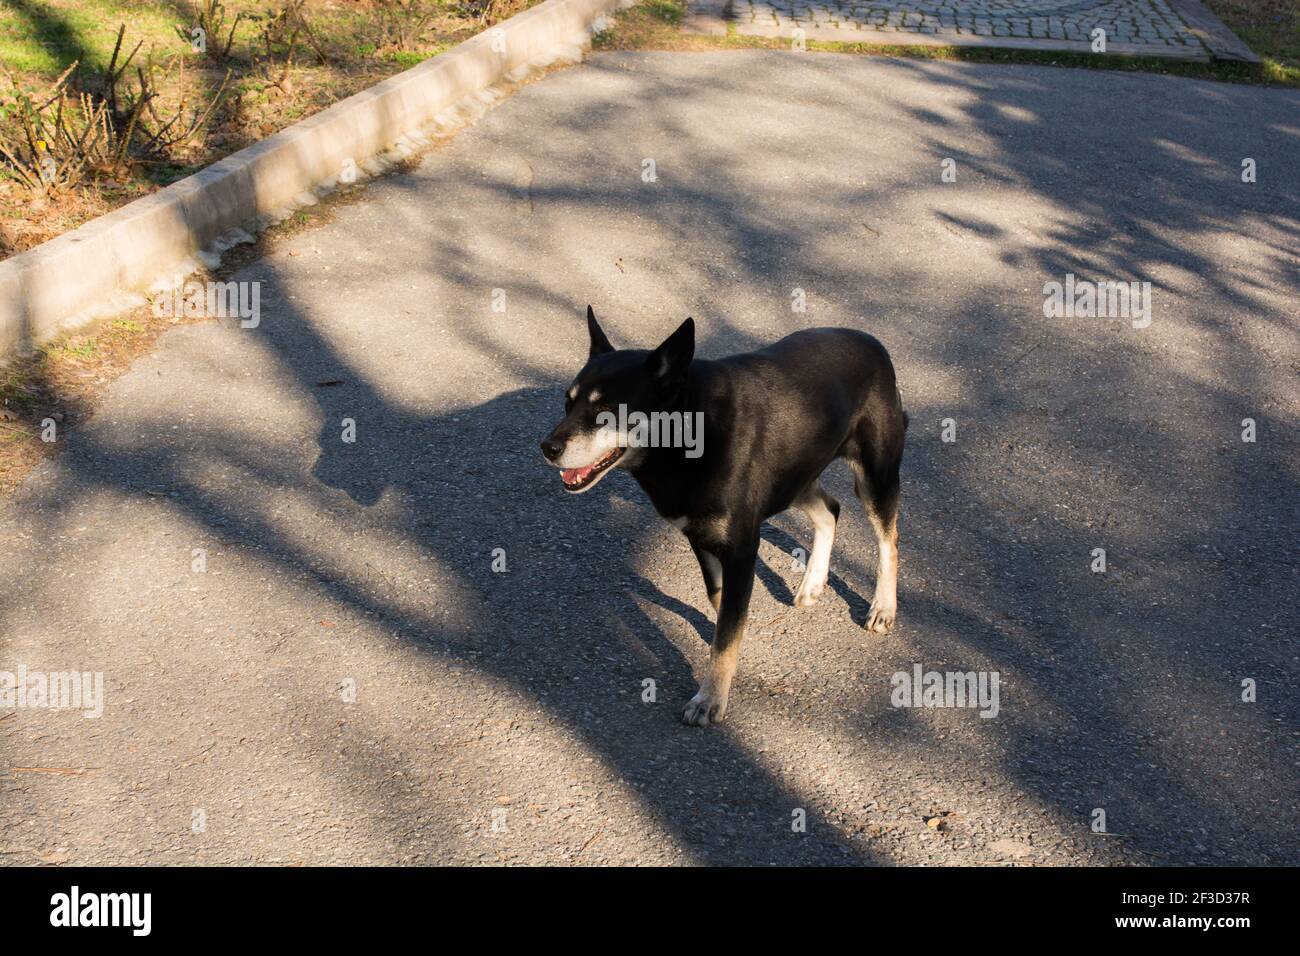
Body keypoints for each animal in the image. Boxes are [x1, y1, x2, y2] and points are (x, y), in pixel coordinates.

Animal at [543, 310, 909, 728]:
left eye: (607, 411)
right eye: (567, 402)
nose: (547, 448)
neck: (688, 432)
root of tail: (873, 343)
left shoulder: (741, 548)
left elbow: (728, 628)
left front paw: (711, 697)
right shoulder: (701, 538)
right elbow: (721, 607)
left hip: (874, 475)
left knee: (888, 541)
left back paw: (883, 607)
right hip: (793, 477)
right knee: (830, 510)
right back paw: (813, 582)